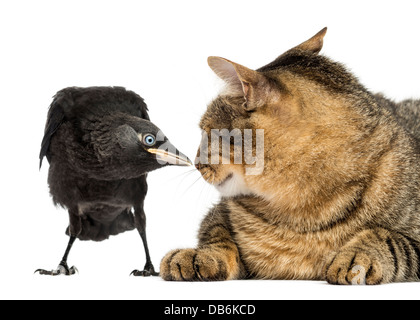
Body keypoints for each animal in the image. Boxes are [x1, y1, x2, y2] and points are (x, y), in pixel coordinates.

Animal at [160, 28, 420, 284]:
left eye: (207, 133)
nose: (196, 163)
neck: (299, 213)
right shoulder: (218, 213)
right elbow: (217, 234)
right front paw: (199, 255)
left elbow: (386, 237)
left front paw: (356, 256)